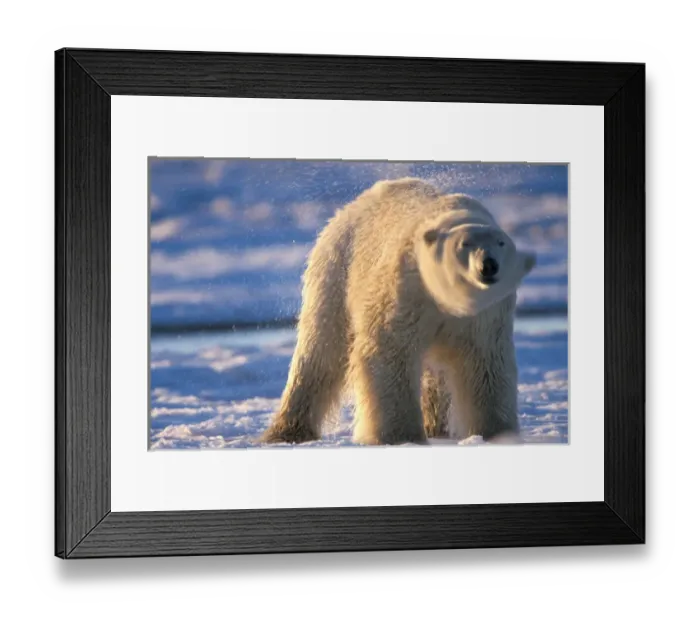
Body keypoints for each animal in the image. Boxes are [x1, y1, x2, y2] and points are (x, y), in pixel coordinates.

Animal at [262, 178, 536, 446]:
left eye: (501, 243)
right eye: (464, 244)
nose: (488, 265)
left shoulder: (486, 315)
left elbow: (486, 363)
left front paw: (497, 433)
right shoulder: (407, 290)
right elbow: (390, 350)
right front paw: (401, 435)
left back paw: (435, 426)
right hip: (337, 268)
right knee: (322, 348)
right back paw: (288, 431)